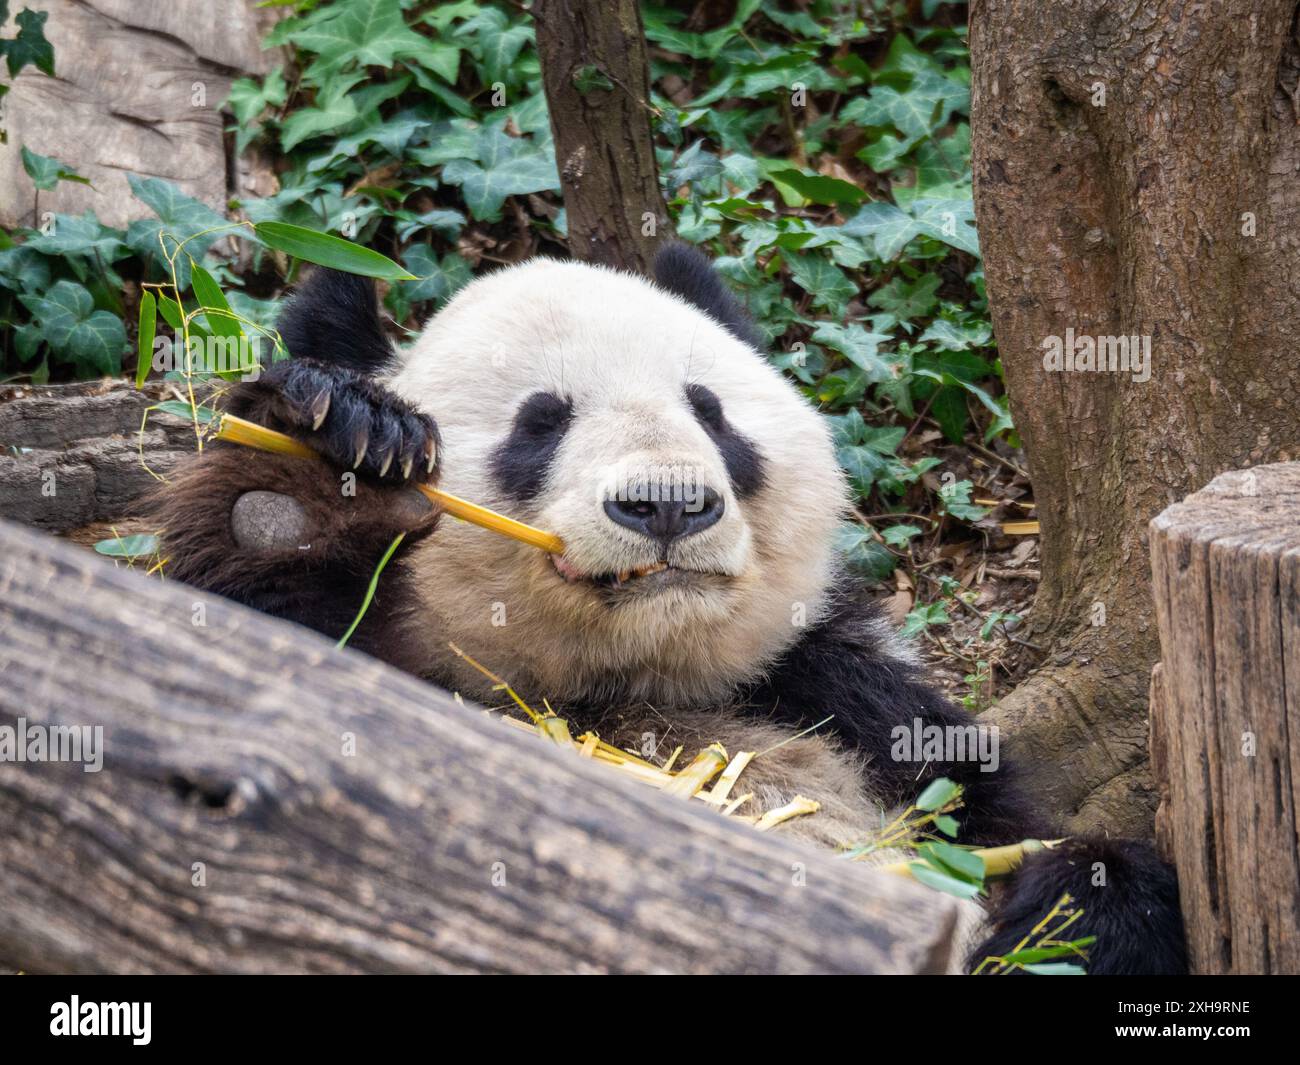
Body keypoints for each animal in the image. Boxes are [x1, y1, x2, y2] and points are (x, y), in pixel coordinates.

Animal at [149, 242, 1187, 975]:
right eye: (540, 422)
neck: (620, 683)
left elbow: (1014, 828)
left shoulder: (834, 691)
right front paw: (330, 450)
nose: (668, 504)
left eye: (712, 413)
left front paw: (1077, 902)